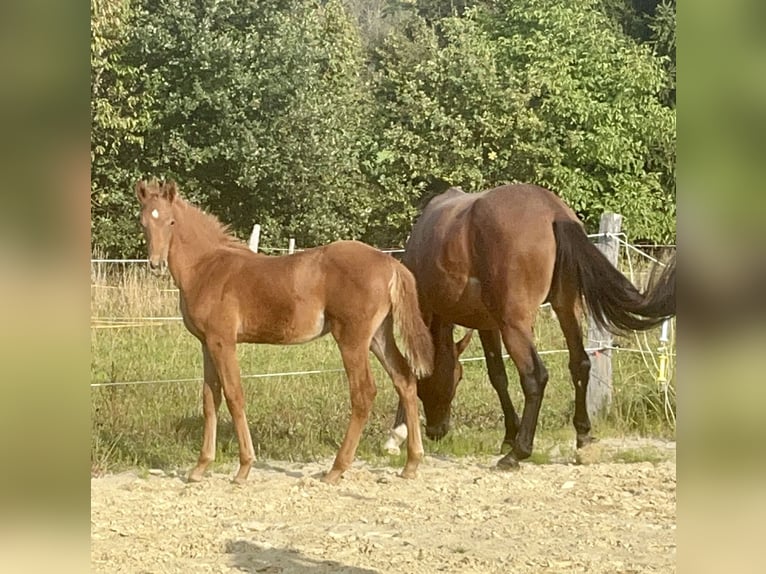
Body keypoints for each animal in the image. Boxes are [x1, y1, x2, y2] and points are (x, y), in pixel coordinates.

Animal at [135, 179, 434, 484]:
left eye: (171, 221)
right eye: (143, 222)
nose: (156, 264)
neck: (207, 268)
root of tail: (391, 263)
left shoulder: (223, 342)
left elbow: (234, 395)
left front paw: (244, 467)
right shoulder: (206, 343)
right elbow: (210, 399)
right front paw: (200, 467)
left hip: (352, 339)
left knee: (363, 392)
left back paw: (336, 469)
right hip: (378, 336)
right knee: (405, 379)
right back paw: (411, 463)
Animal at [384, 184, 675, 469]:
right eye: (459, 376)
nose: (437, 430)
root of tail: (553, 211)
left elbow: (409, 369)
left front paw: (396, 435)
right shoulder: (487, 325)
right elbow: (498, 377)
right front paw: (508, 435)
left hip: (516, 325)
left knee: (535, 377)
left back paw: (518, 454)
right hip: (565, 308)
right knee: (579, 364)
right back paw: (583, 439)